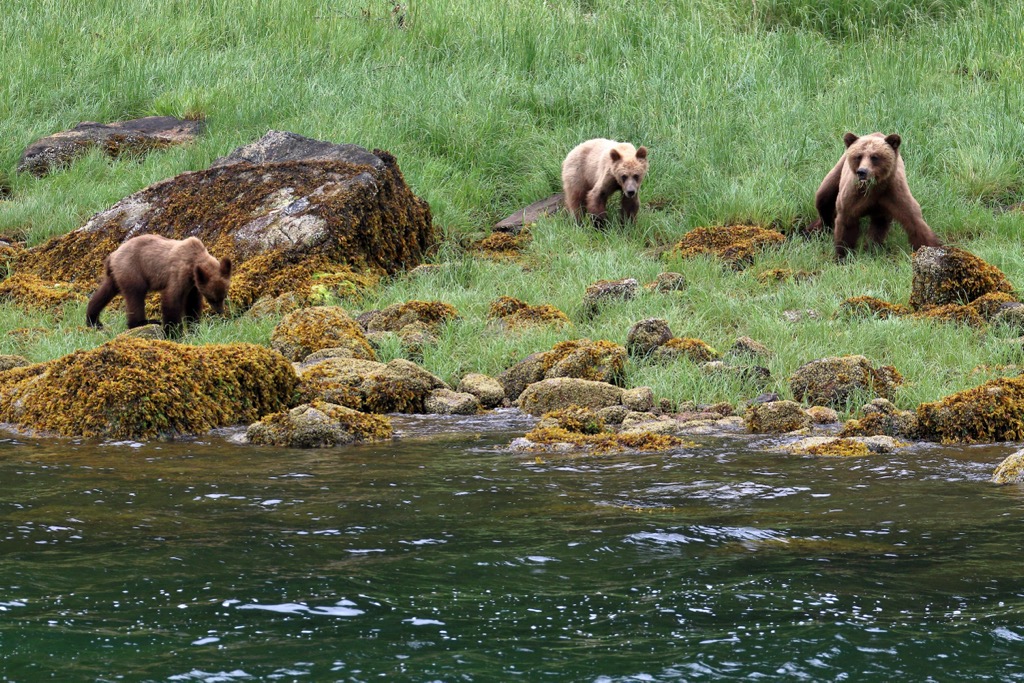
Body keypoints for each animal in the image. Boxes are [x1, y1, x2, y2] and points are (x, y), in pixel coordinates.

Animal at [86, 235, 232, 333]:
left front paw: (194, 327)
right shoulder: (178, 274)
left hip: (116, 276)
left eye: (224, 296)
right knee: (136, 296)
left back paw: (93, 321)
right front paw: (173, 332)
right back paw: (143, 322)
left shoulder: (194, 285)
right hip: (133, 270)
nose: (220, 311)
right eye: (212, 298)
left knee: (104, 293)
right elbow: (171, 300)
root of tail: (112, 255)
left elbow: (193, 305)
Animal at [814, 131, 941, 260]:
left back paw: (872, 248)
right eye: (858, 156)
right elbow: (846, 223)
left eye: (875, 157)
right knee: (824, 199)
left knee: (878, 226)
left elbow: (914, 222)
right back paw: (817, 229)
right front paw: (843, 255)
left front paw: (933, 248)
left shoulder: (892, 194)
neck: (874, 188)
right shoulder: (853, 196)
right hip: (837, 172)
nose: (862, 171)